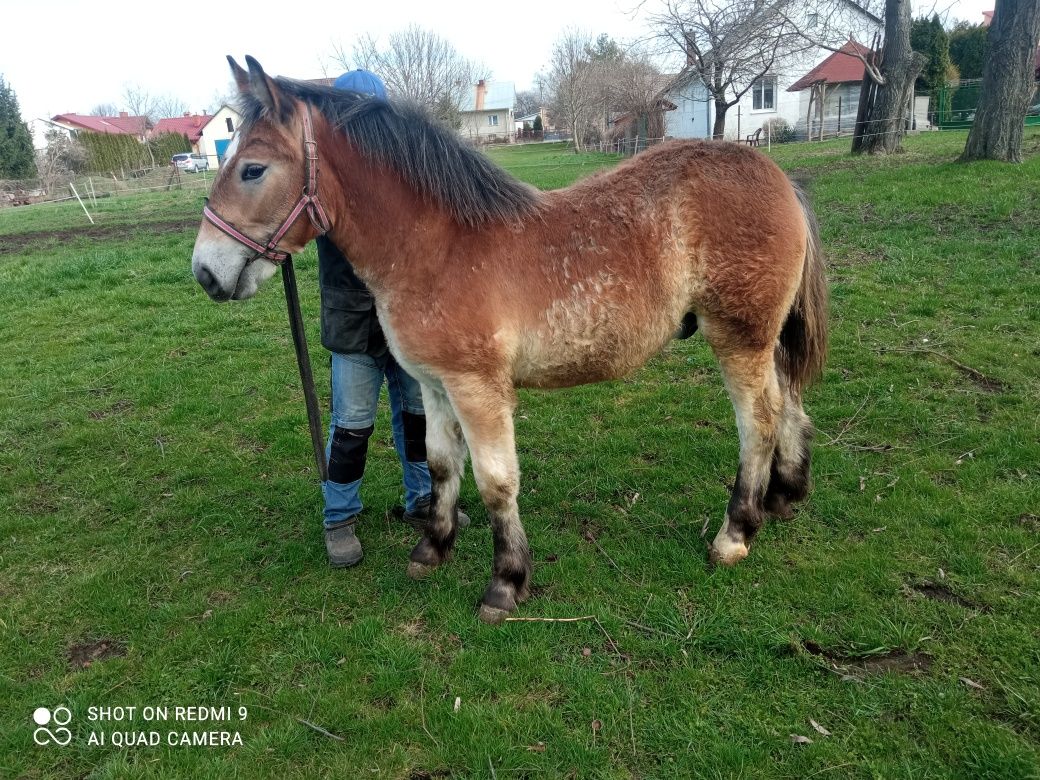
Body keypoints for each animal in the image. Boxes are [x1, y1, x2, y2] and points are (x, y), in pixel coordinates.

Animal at [193, 57, 827, 628]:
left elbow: (496, 483)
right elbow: (440, 464)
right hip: (765, 339)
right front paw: (432, 549)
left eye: (252, 170)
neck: (436, 247)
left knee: (758, 421)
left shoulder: (478, 389)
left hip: (739, 337)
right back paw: (782, 498)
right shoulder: (434, 385)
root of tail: (779, 179)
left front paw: (505, 583)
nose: (205, 272)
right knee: (790, 404)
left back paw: (734, 534)